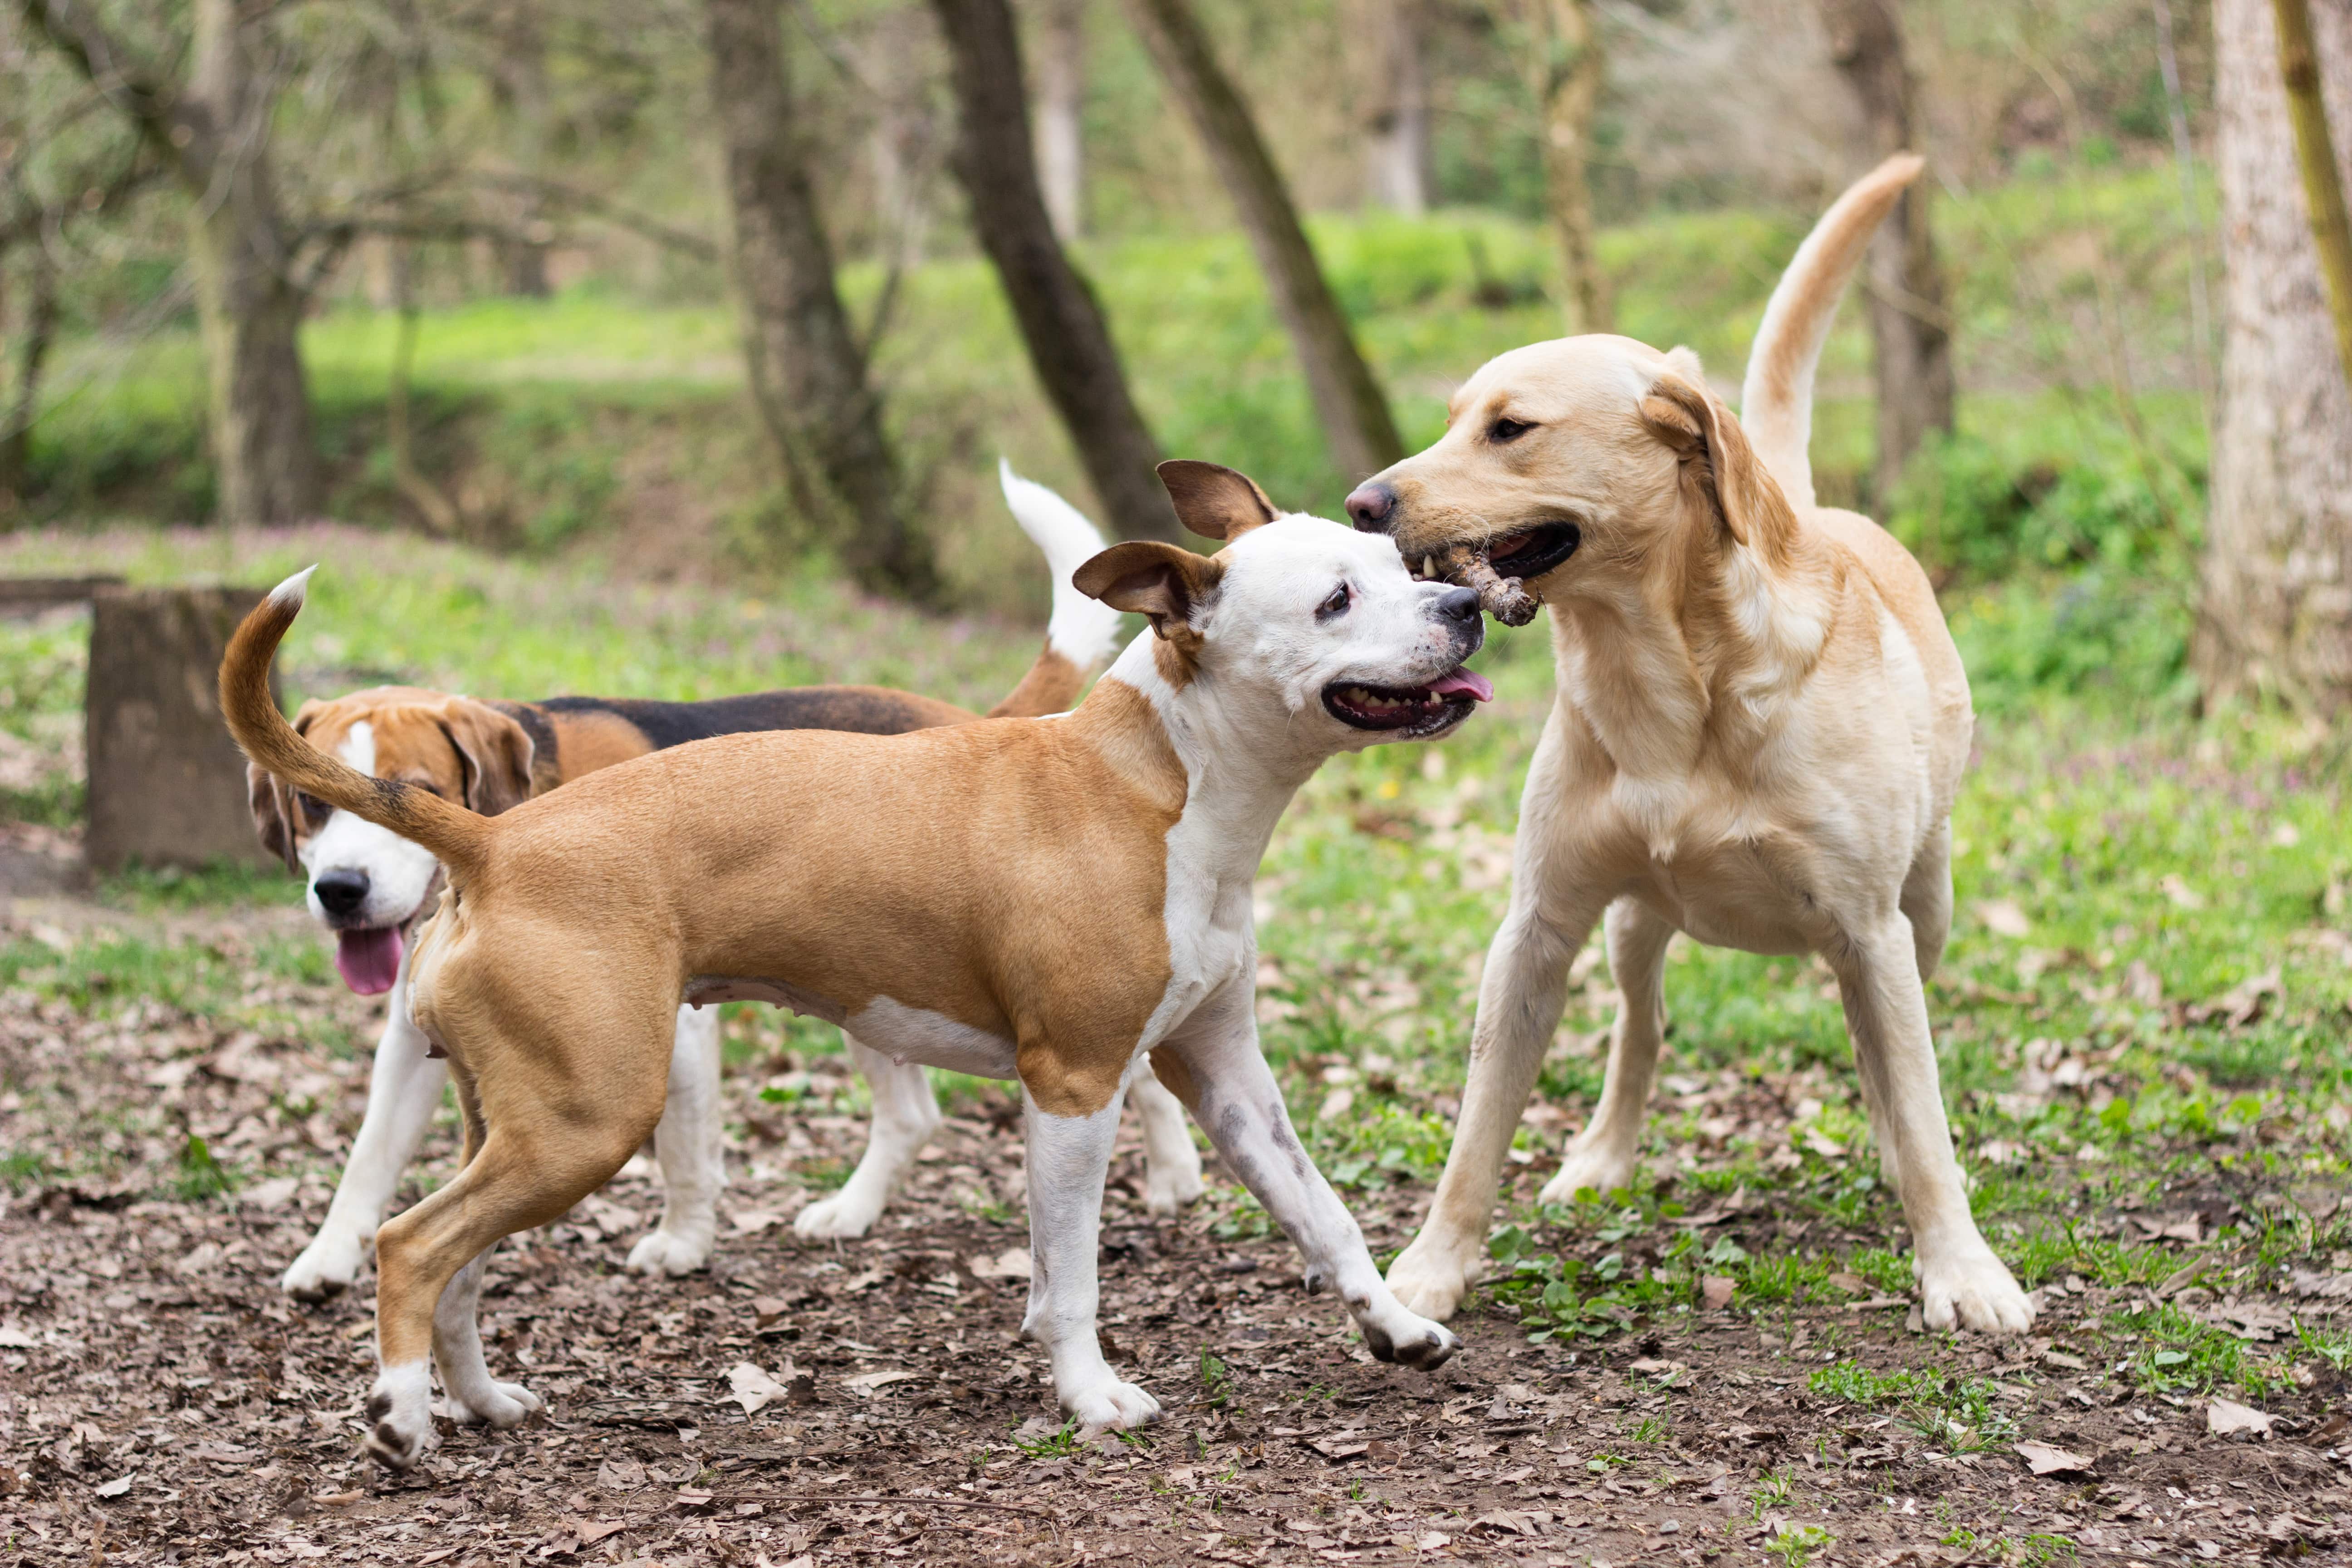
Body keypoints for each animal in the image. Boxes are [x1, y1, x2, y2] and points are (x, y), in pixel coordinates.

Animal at [262, 463, 1195, 1298]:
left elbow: (682, 1143)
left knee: (1133, 1070)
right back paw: (853, 1211)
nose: (341, 890)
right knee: (912, 1114)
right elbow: (369, 1154)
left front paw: (681, 1241)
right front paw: (328, 1256)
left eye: (414, 790)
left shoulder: (673, 1024)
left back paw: (1176, 1175)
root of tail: (968, 719)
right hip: (874, 982)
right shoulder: (413, 1040)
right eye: (310, 804)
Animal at [1354, 156, 2032, 1335]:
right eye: (1451, 421)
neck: (1665, 685)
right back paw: (1603, 1154)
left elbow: (1922, 1115)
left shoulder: (1871, 930)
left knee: (1890, 1058)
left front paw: (1962, 1268)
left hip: (1927, 909)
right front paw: (1431, 1269)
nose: (1360, 502)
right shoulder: (1533, 931)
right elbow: (1477, 1127)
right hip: (1633, 922)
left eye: (1510, 428)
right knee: (1642, 1025)